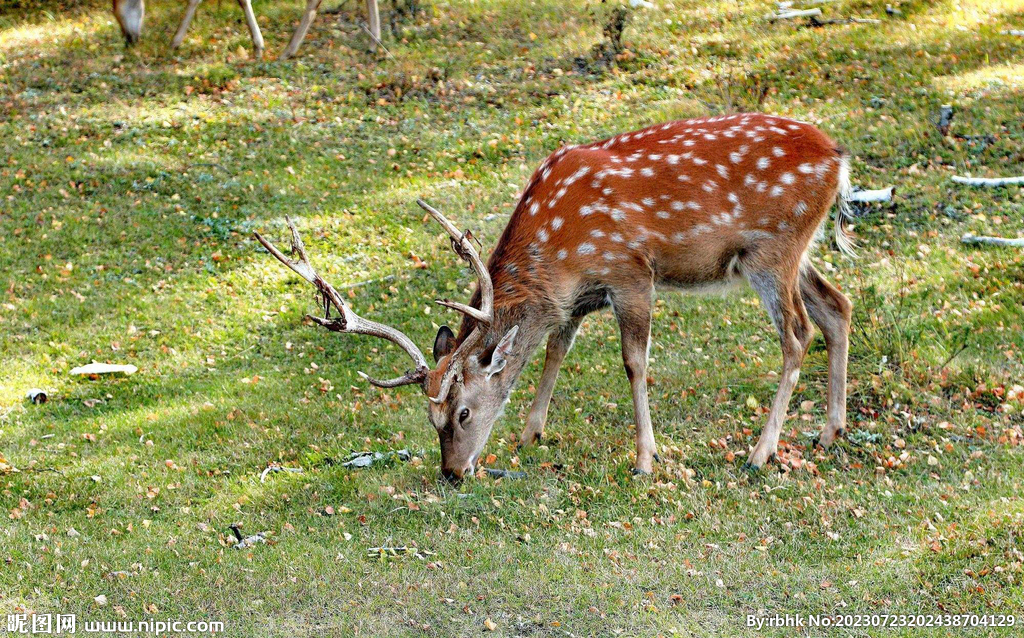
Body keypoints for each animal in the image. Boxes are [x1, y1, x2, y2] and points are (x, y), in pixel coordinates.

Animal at [256, 112, 856, 479]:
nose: (451, 473)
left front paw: (645, 458)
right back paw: (831, 431)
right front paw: (531, 433)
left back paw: (761, 451)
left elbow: (634, 362)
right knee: (837, 306)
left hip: (773, 249)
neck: (555, 253)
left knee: (798, 333)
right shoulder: (576, 298)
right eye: (430, 418)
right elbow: (554, 351)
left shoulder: (630, 272)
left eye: (463, 413)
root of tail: (838, 156)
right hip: (792, 251)